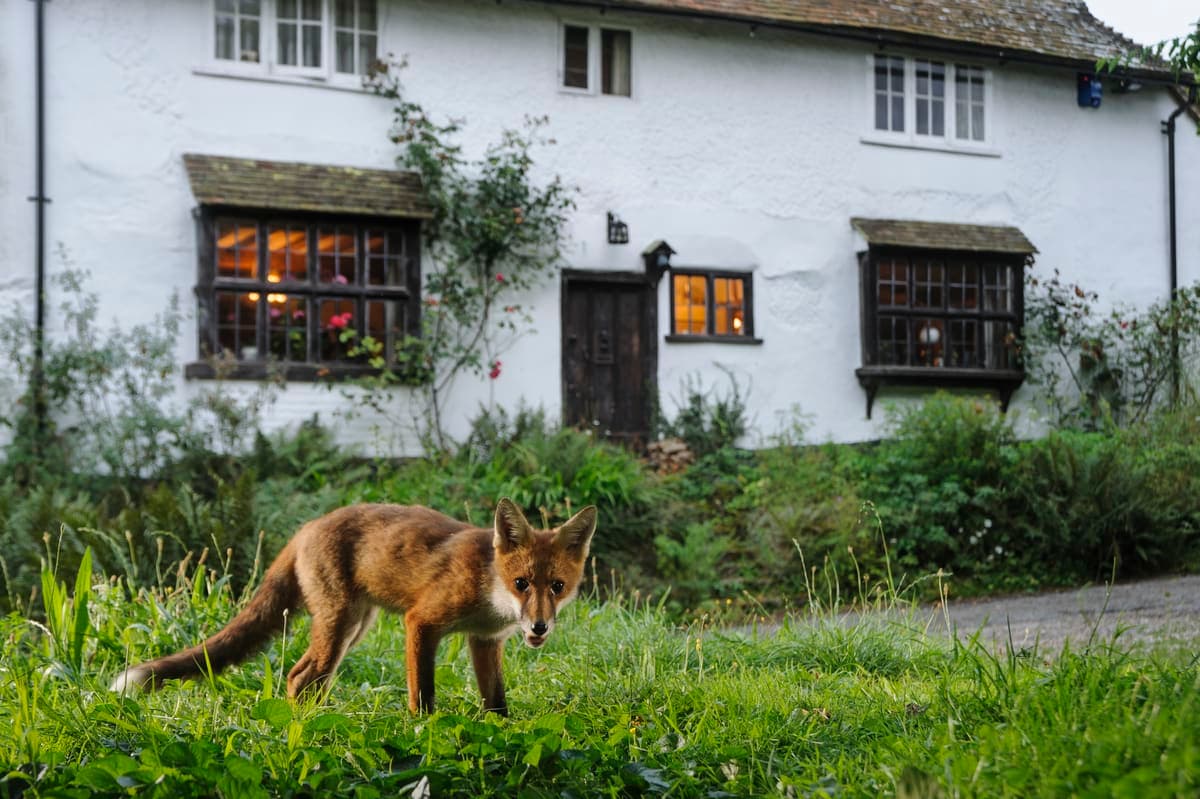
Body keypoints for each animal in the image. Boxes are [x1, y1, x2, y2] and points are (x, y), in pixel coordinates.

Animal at [110, 494, 597, 710]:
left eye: (556, 586)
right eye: (521, 583)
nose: (538, 628)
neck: (488, 590)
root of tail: (308, 526)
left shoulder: (484, 640)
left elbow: (496, 700)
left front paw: (501, 732)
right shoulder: (422, 622)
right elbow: (423, 694)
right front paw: (425, 733)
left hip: (354, 628)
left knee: (310, 679)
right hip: (339, 624)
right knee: (298, 676)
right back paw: (300, 727)